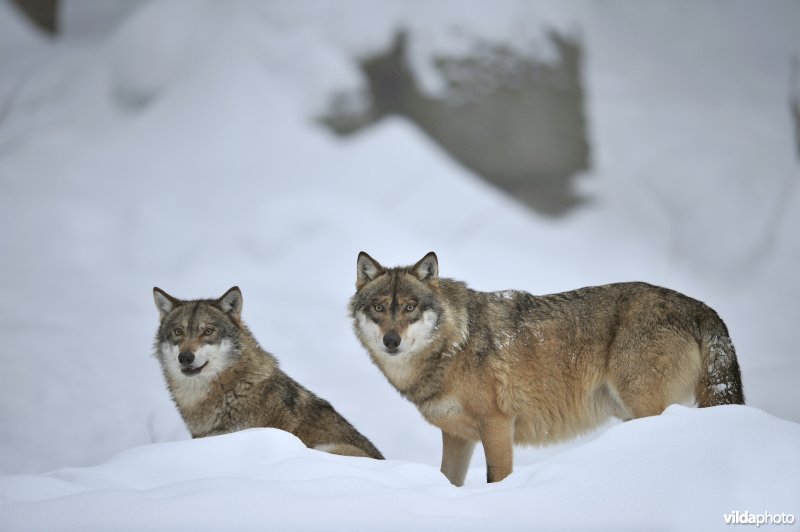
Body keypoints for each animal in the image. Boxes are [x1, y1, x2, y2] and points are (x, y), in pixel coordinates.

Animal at [350, 252, 743, 485]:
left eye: (411, 307)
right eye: (380, 308)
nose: (391, 341)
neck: (453, 345)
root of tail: (701, 307)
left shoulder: (497, 425)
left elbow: (497, 478)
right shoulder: (458, 436)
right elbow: (449, 480)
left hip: (643, 406)